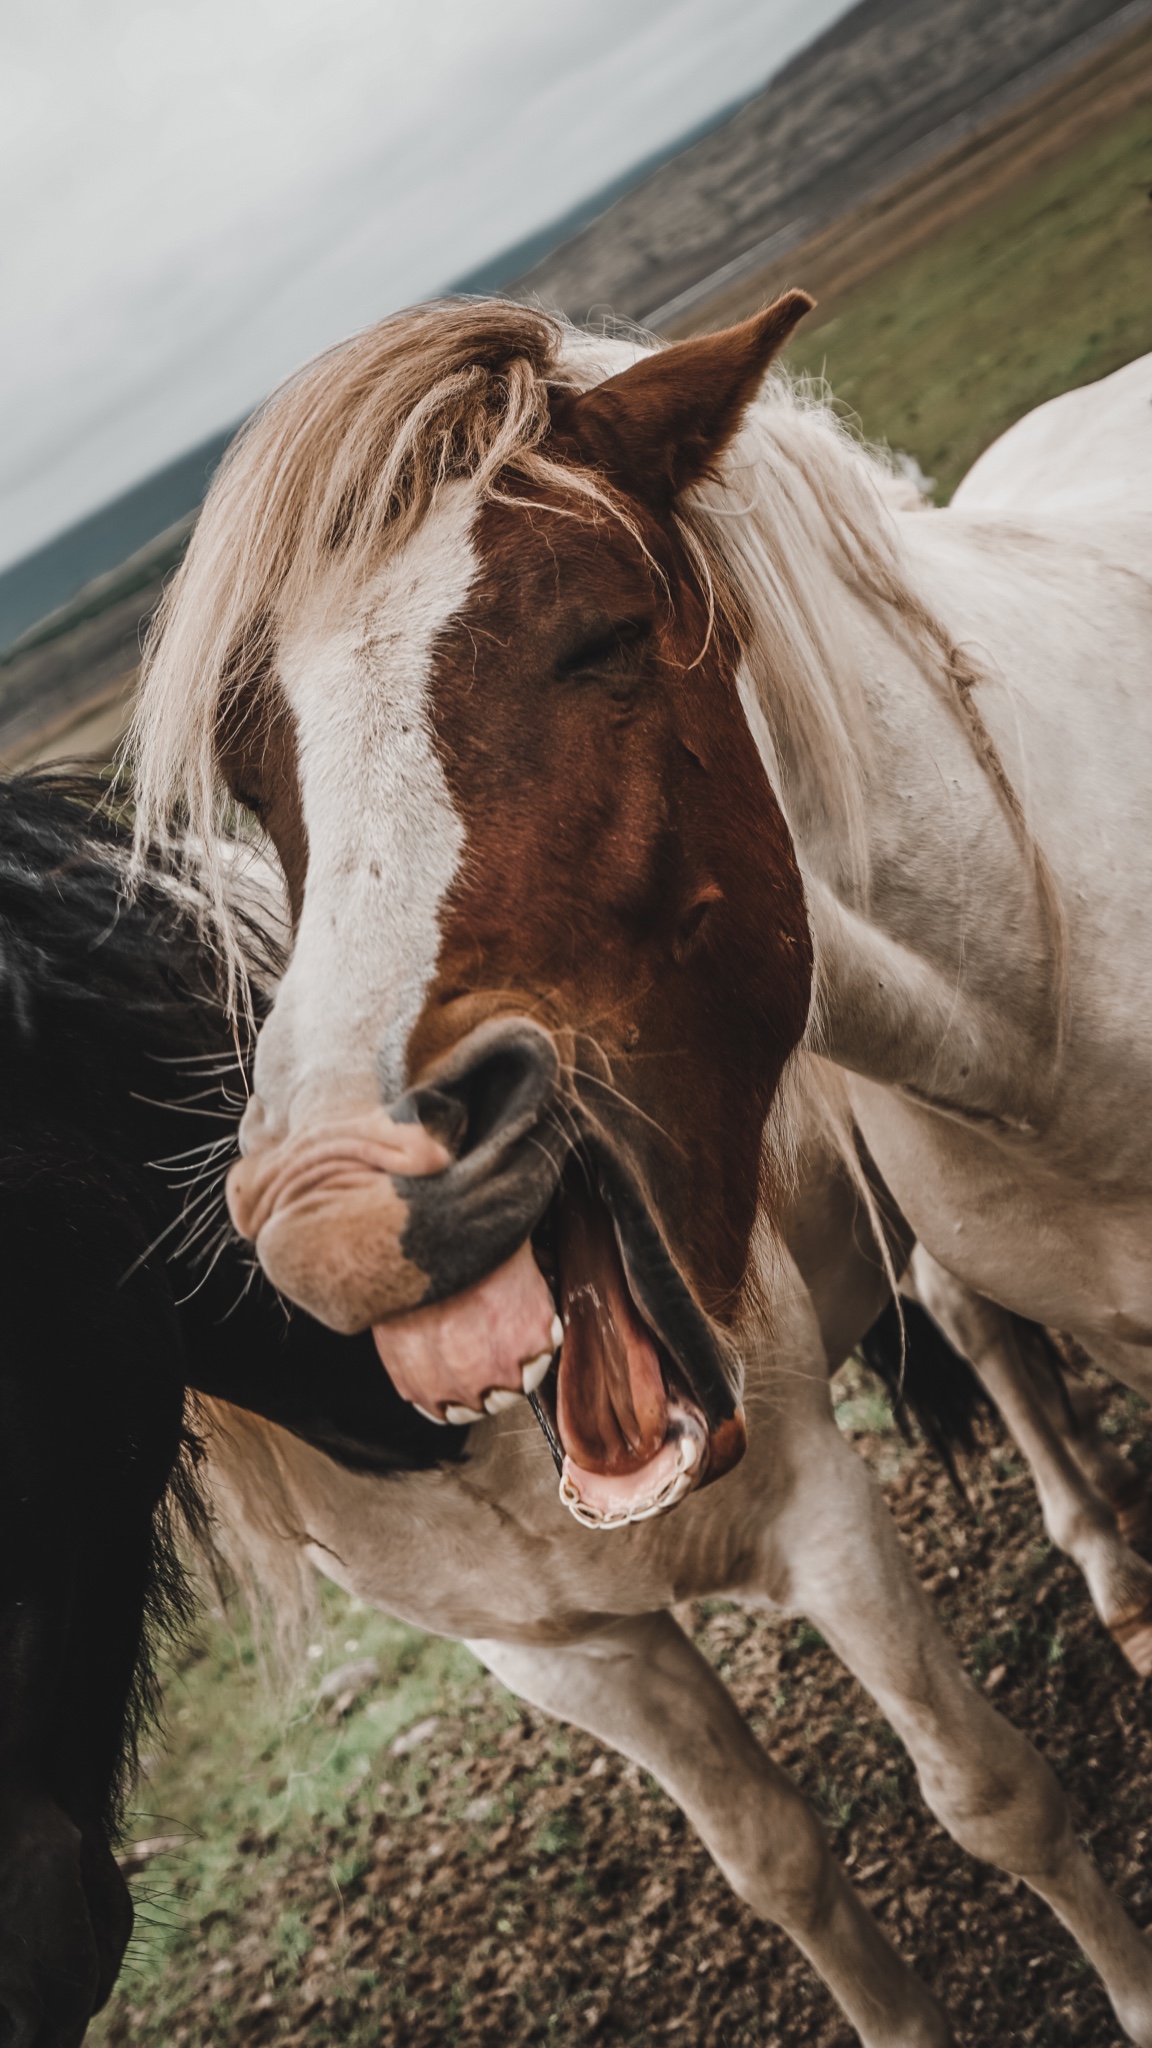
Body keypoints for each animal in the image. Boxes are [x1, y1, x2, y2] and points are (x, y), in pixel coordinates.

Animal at [118, 284, 1152, 2031]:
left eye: (599, 636)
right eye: (258, 777)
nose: (329, 1204)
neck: (1048, 985)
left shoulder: (818, 1503)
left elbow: (988, 1795)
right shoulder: (575, 1654)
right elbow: (777, 1865)